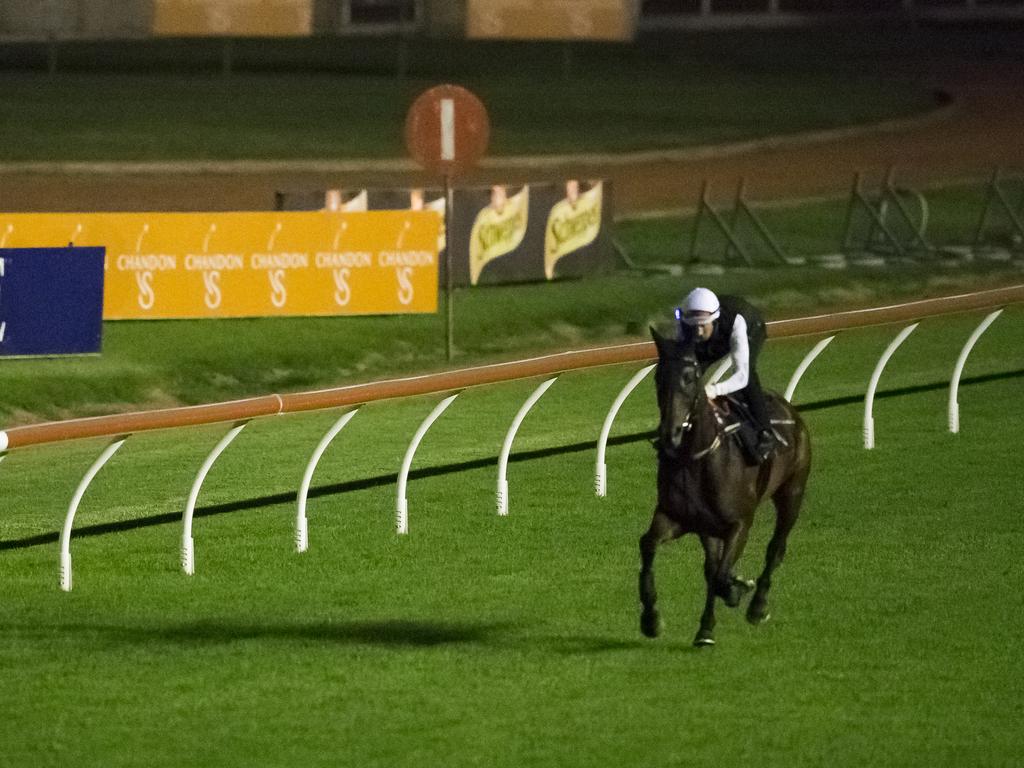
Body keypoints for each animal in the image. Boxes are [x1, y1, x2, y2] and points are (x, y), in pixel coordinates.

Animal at [638, 327, 815, 647]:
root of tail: (790, 410)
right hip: (709, 527)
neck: (695, 458)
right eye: (658, 377)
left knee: (775, 549)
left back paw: (757, 606)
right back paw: (706, 629)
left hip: (792, 493)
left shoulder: (739, 523)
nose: (670, 434)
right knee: (711, 567)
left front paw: (737, 588)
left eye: (691, 377)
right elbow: (649, 545)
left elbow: (723, 576)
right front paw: (651, 619)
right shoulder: (677, 517)